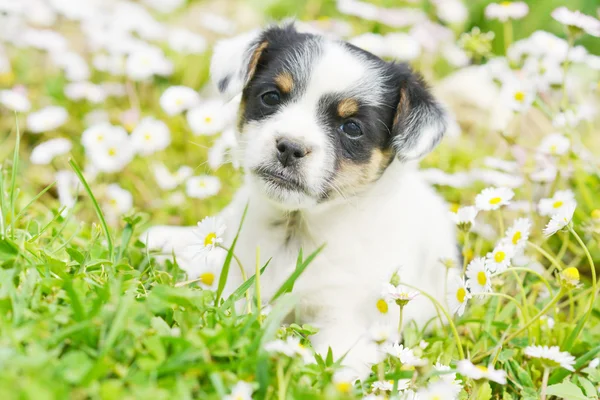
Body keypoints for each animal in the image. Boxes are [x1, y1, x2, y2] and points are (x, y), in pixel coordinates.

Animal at [145, 24, 460, 376]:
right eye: (271, 97)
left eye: (351, 127)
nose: (290, 147)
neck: (295, 227)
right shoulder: (232, 279)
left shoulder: (345, 323)